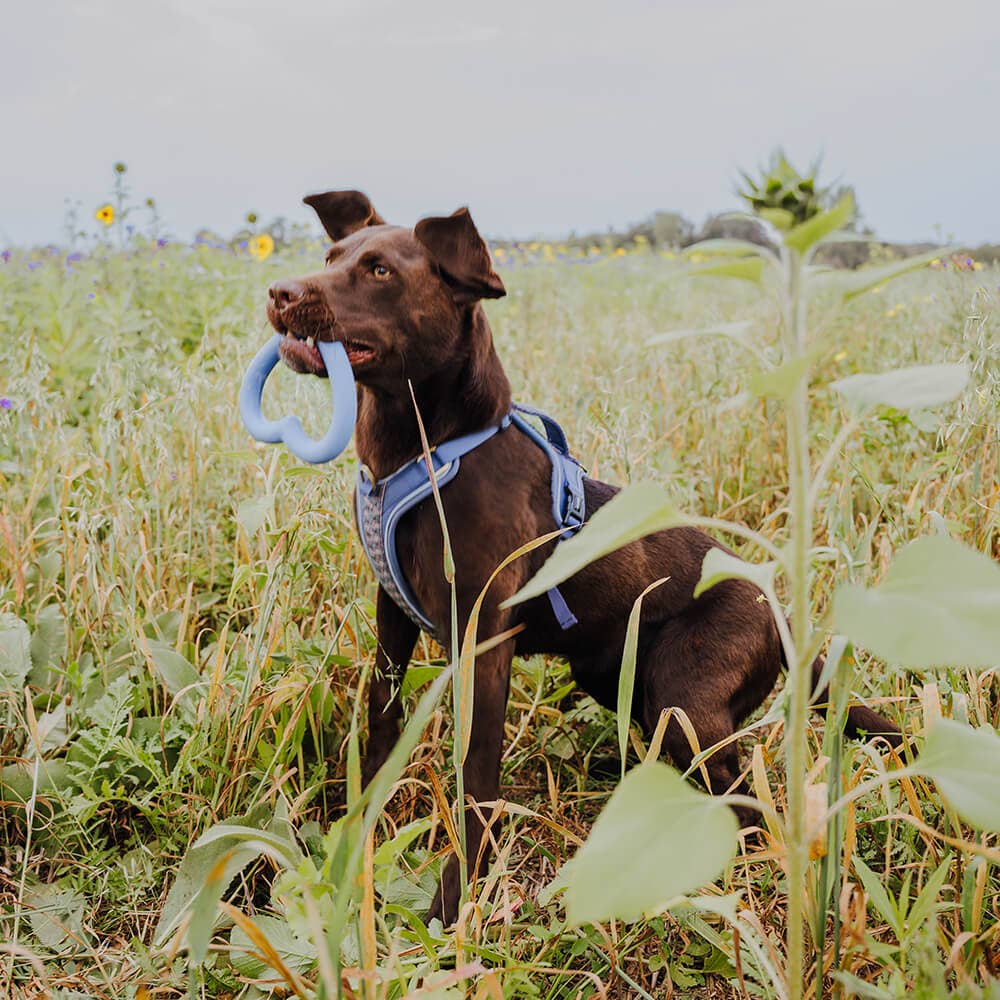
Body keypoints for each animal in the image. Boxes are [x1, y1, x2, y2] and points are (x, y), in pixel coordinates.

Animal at [266, 191, 900, 924]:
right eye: (330, 256)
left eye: (379, 272)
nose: (280, 293)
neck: (426, 454)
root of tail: (779, 610)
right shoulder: (391, 617)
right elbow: (381, 721)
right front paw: (360, 833)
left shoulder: (484, 640)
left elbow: (476, 774)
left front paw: (456, 901)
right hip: (623, 680)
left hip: (685, 697)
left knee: (743, 798)